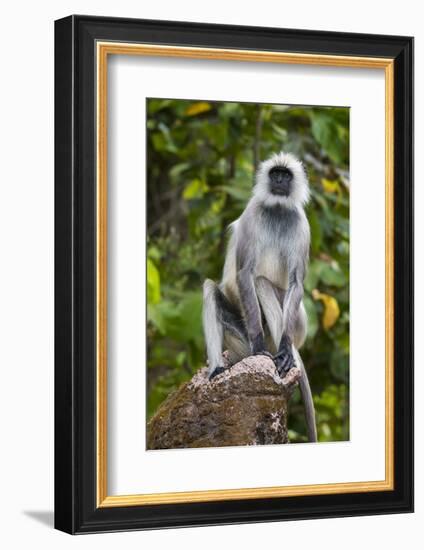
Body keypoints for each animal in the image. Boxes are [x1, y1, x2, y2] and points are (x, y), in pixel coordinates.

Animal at [204, 151, 316, 444]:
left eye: (285, 175)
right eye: (275, 174)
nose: (278, 181)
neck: (277, 209)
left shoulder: (301, 223)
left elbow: (295, 281)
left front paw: (285, 348)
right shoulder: (254, 212)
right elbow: (244, 274)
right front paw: (257, 344)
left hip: (300, 324)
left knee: (264, 284)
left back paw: (285, 358)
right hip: (240, 341)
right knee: (213, 288)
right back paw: (218, 369)